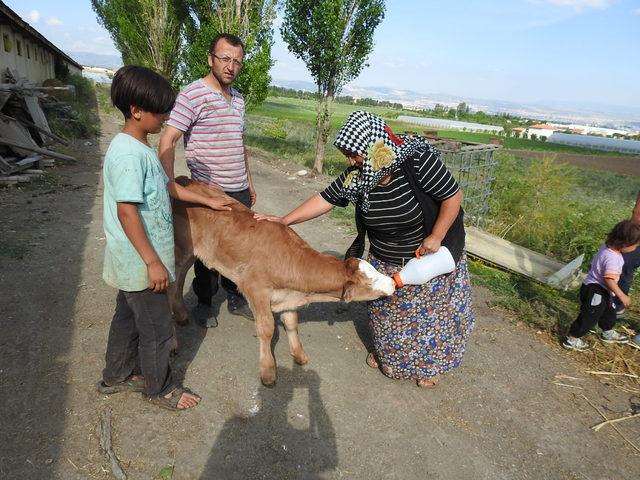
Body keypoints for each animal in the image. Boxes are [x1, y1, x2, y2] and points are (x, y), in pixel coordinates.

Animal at [169, 177, 396, 386]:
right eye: (370, 281)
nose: (393, 283)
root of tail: (183, 179)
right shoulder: (256, 289)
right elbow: (267, 329)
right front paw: (268, 371)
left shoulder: (289, 296)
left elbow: (291, 323)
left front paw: (299, 355)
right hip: (181, 250)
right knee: (173, 283)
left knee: (179, 282)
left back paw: (181, 315)